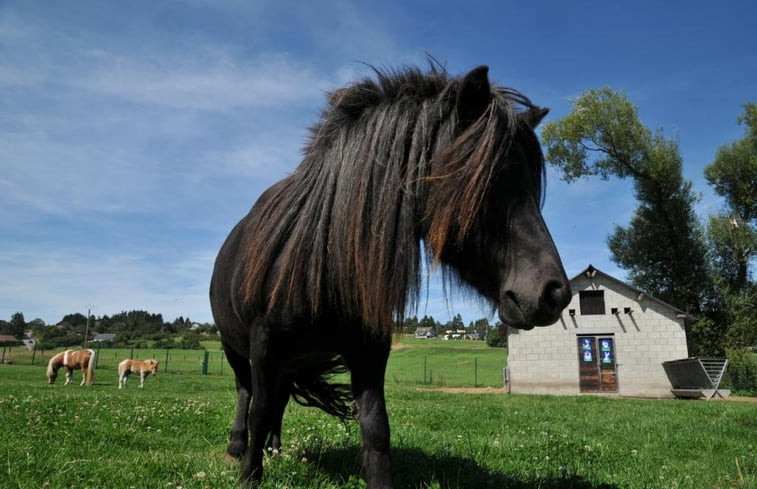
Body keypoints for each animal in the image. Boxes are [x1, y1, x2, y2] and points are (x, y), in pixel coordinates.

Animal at [207, 63, 568, 484]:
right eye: (489, 179)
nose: (553, 293)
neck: (323, 260)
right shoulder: (264, 346)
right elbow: (259, 411)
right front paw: (249, 472)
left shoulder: (368, 351)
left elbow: (375, 427)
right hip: (236, 348)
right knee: (246, 394)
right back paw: (237, 448)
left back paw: (275, 448)